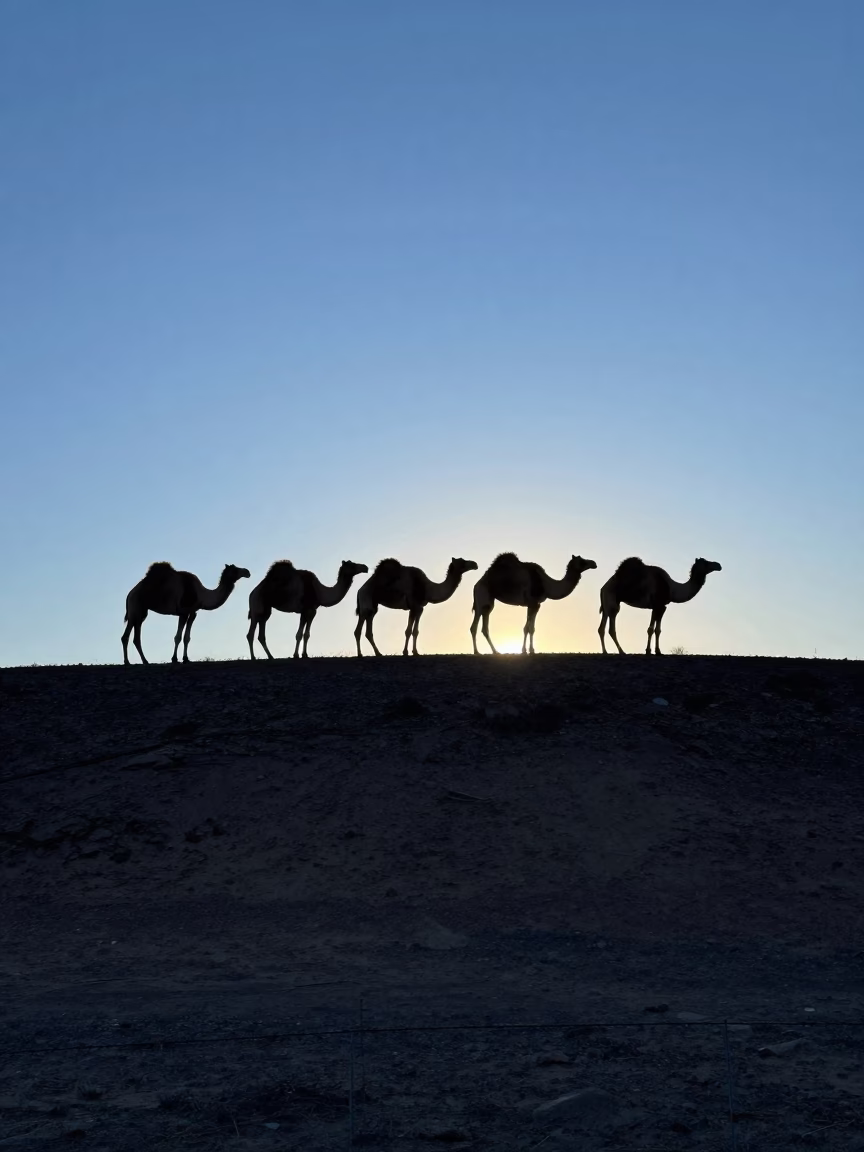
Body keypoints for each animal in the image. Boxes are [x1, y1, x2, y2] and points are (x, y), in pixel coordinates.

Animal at [122, 561, 250, 664]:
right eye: (235, 569)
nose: (247, 572)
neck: (201, 595)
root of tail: (129, 594)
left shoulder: (193, 612)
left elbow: (187, 637)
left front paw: (186, 659)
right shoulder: (183, 611)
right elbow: (178, 637)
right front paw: (174, 659)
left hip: (141, 612)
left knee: (132, 636)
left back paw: (137, 661)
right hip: (136, 607)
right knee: (130, 636)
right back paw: (135, 661)